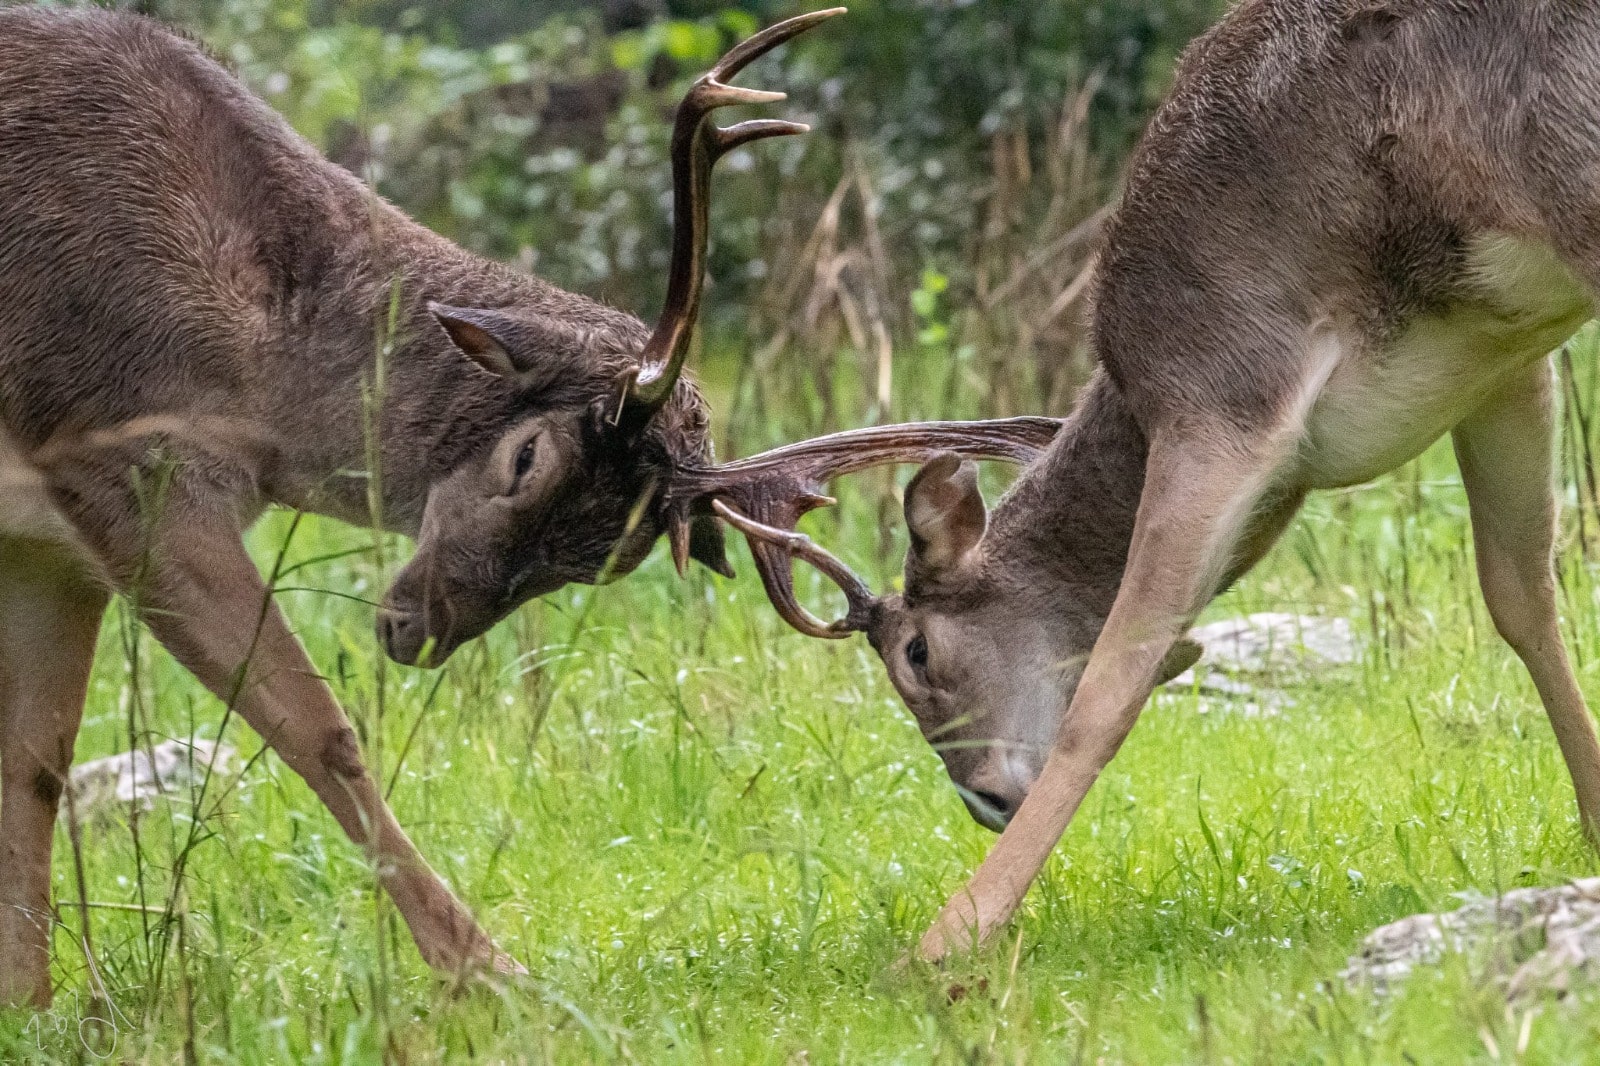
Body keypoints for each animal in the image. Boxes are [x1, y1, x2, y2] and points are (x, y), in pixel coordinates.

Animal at [716, 0, 1600, 960]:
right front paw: (1593, 827)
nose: (983, 798)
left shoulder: (1220, 388)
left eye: (915, 652)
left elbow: (1111, 684)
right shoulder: (1502, 359)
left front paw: (948, 941)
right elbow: (1521, 596)